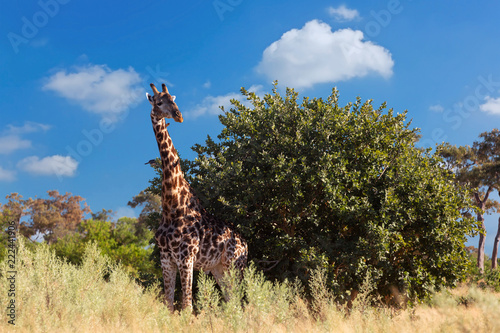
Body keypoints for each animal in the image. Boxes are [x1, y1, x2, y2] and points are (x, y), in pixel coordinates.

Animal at [146, 81, 247, 310]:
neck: (172, 204)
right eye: (158, 102)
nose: (178, 115)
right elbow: (169, 304)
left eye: (173, 99)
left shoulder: (186, 257)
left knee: (242, 300)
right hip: (219, 269)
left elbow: (187, 305)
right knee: (231, 300)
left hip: (236, 266)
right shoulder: (166, 258)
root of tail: (246, 245)